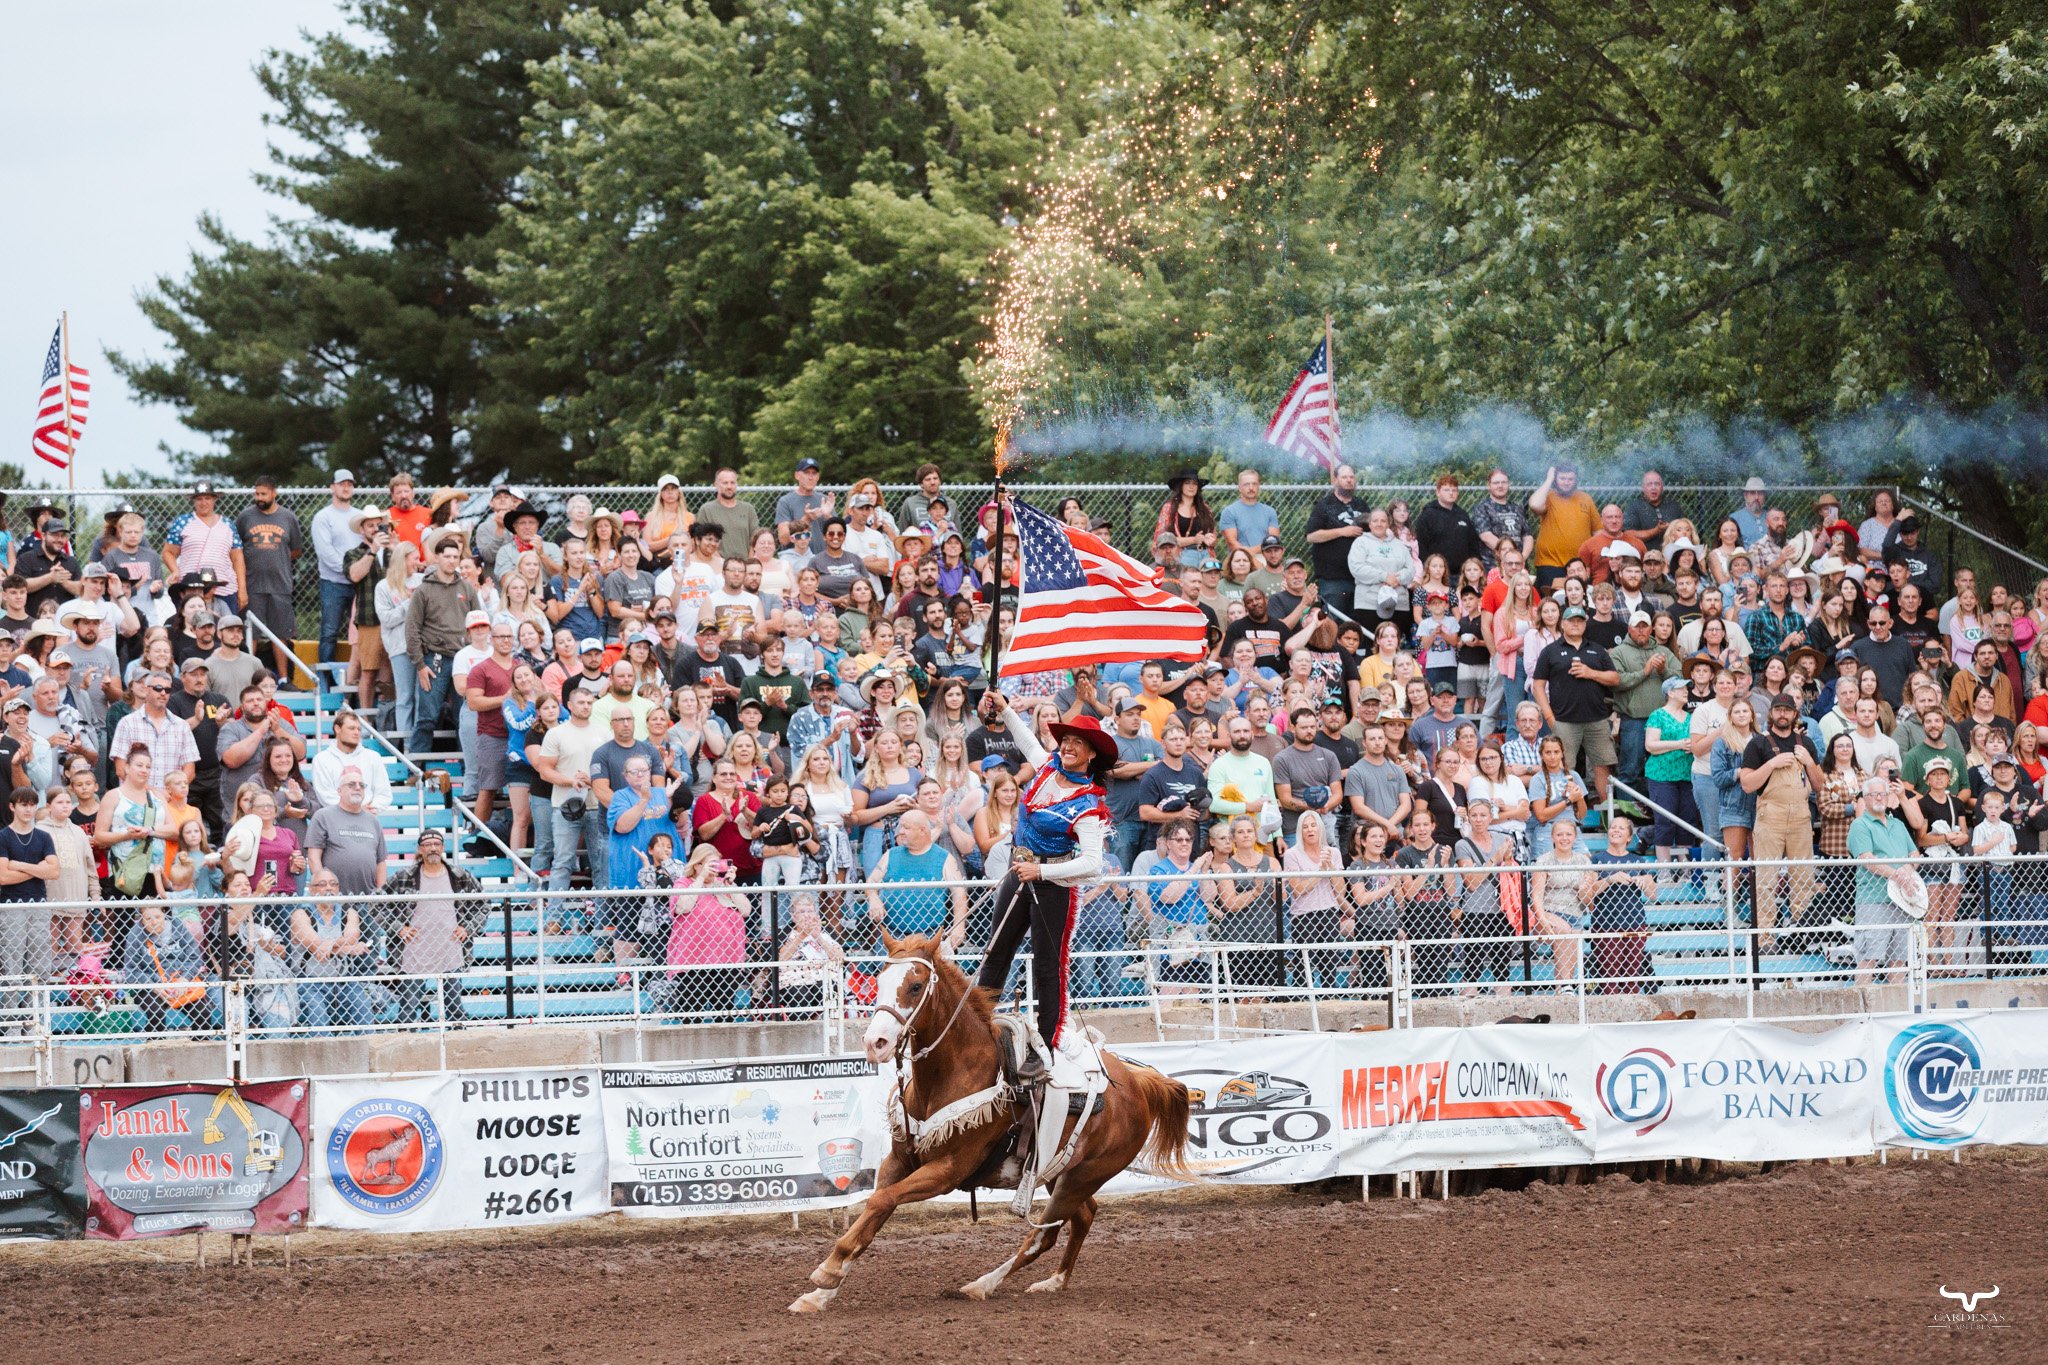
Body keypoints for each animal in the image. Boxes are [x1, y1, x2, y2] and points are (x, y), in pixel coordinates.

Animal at [790, 929, 1193, 1312]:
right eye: (880, 979)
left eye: (916, 986)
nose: (875, 1043)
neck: (954, 1073)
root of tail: (1137, 1081)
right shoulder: (900, 1159)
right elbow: (876, 1209)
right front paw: (820, 1294)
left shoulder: (948, 1170)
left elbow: (880, 1202)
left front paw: (828, 1269)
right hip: (1059, 1173)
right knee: (1082, 1218)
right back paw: (1055, 1281)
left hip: (1085, 1176)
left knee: (1043, 1235)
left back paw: (982, 1285)